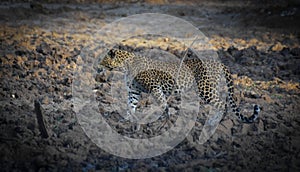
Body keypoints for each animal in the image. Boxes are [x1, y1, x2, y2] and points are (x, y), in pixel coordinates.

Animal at [99, 47, 258, 124]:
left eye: (103, 60)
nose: (98, 67)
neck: (124, 66)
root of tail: (220, 63)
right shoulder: (134, 91)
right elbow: (130, 104)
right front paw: (126, 119)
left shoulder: (154, 86)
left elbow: (162, 103)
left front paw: (162, 119)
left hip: (205, 88)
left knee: (223, 105)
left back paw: (216, 122)